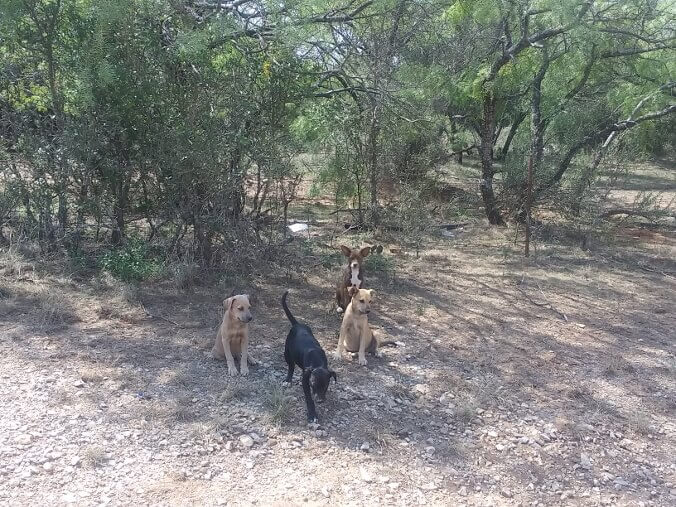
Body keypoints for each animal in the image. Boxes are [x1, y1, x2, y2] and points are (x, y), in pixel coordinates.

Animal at [282, 290, 336, 424]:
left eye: (326, 385)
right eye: (313, 385)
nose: (320, 401)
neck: (317, 362)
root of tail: (298, 324)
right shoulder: (305, 381)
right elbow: (309, 398)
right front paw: (312, 415)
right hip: (287, 352)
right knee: (290, 366)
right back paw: (288, 380)